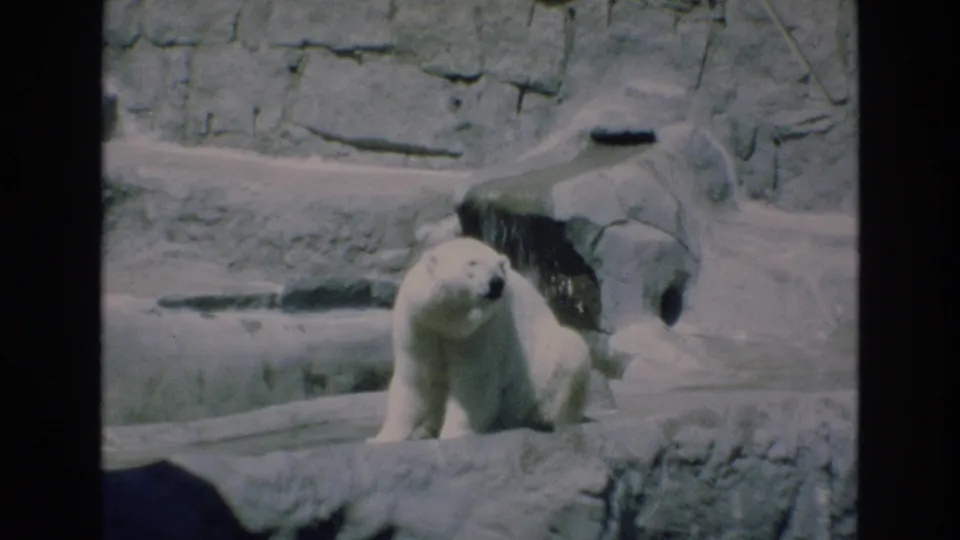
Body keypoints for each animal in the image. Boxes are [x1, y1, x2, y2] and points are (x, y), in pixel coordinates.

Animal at [369, 237, 592, 443]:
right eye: (472, 262)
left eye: (500, 266)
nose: (497, 283)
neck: (448, 322)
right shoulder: (420, 324)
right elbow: (414, 378)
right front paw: (383, 437)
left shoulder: (483, 330)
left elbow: (474, 379)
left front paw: (454, 433)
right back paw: (425, 429)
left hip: (545, 367)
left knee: (570, 355)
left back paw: (546, 419)